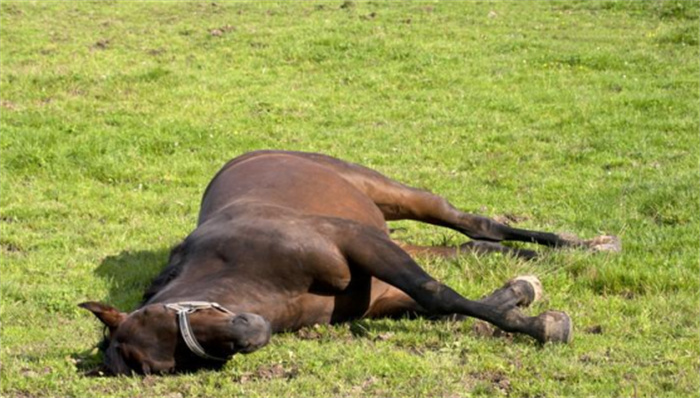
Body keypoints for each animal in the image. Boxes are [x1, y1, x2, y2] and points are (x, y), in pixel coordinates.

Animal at [82, 150, 616, 376]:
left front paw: (544, 325)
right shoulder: (376, 291)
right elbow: (448, 302)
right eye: (167, 367)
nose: (250, 334)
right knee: (478, 245)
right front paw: (524, 297)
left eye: (159, 317)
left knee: (473, 222)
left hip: (394, 196)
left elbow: (436, 292)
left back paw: (591, 245)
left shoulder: (356, 242)